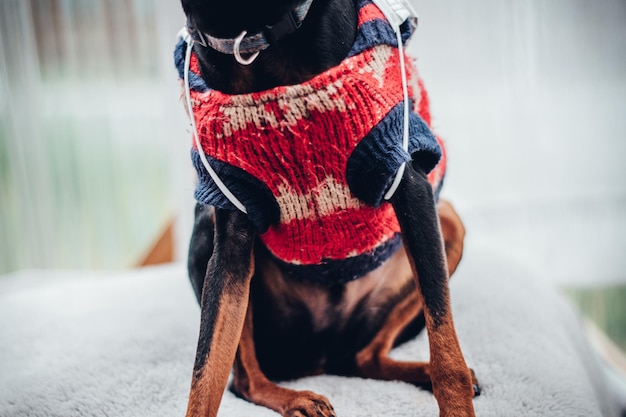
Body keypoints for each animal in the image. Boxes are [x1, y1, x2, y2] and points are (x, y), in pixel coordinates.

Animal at [173, 0, 476, 416]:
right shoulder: (229, 207)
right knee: (246, 379)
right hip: (208, 228)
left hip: (446, 221)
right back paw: (296, 398)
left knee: (365, 358)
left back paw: (420, 372)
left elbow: (447, 354)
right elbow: (205, 374)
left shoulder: (403, 172)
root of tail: (320, 358)